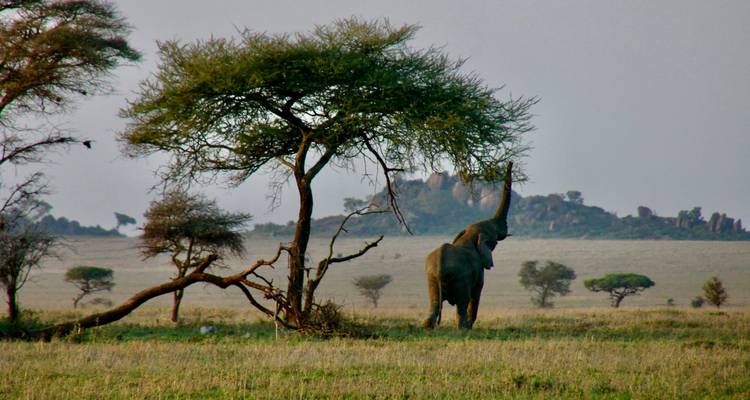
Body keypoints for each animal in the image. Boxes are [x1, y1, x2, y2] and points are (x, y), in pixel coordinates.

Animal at [423, 162, 514, 329]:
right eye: (494, 237)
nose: (510, 162)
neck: (469, 235)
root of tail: (440, 266)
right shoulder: (478, 268)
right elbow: (476, 293)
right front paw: (470, 327)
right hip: (460, 277)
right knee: (462, 303)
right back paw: (463, 329)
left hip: (431, 277)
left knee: (434, 303)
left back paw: (428, 328)